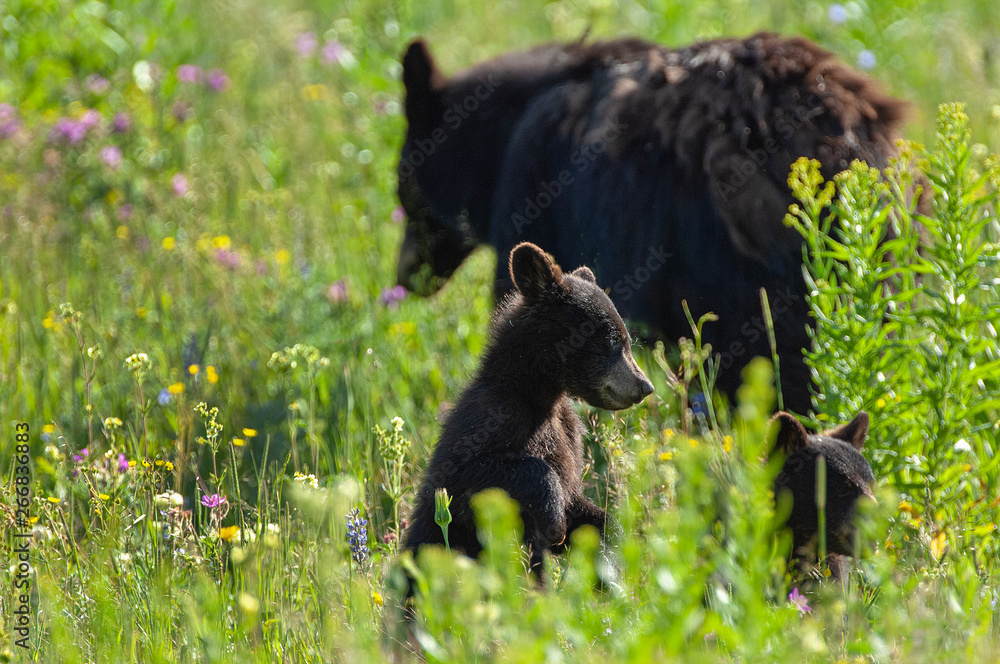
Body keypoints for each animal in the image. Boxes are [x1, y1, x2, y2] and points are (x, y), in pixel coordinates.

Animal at [402, 242, 654, 577]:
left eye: (625, 340)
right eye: (613, 340)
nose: (645, 386)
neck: (541, 396)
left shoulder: (569, 436)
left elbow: (580, 504)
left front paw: (610, 550)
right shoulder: (488, 418)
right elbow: (472, 474)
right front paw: (553, 520)